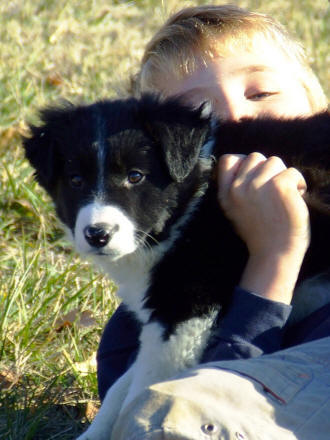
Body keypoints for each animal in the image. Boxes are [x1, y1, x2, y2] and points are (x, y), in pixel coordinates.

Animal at [23, 96, 330, 440]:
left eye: (136, 176)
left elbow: (143, 387)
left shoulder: (186, 308)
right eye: (75, 181)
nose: (98, 234)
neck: (198, 187)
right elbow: (121, 387)